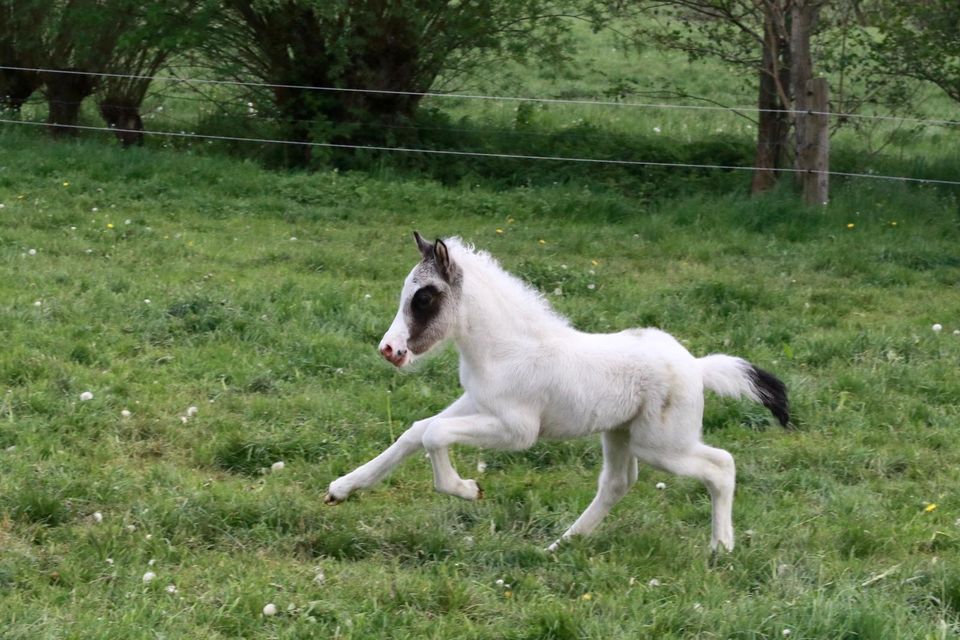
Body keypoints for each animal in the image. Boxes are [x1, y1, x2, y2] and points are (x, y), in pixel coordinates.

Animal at [322, 232, 788, 552]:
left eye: (424, 297)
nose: (389, 350)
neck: (506, 348)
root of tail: (696, 366)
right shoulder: (477, 403)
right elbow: (418, 431)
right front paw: (342, 488)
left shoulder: (518, 430)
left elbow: (435, 434)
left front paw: (468, 489)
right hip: (620, 434)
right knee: (618, 483)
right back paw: (561, 545)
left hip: (662, 444)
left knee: (721, 466)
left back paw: (720, 549)